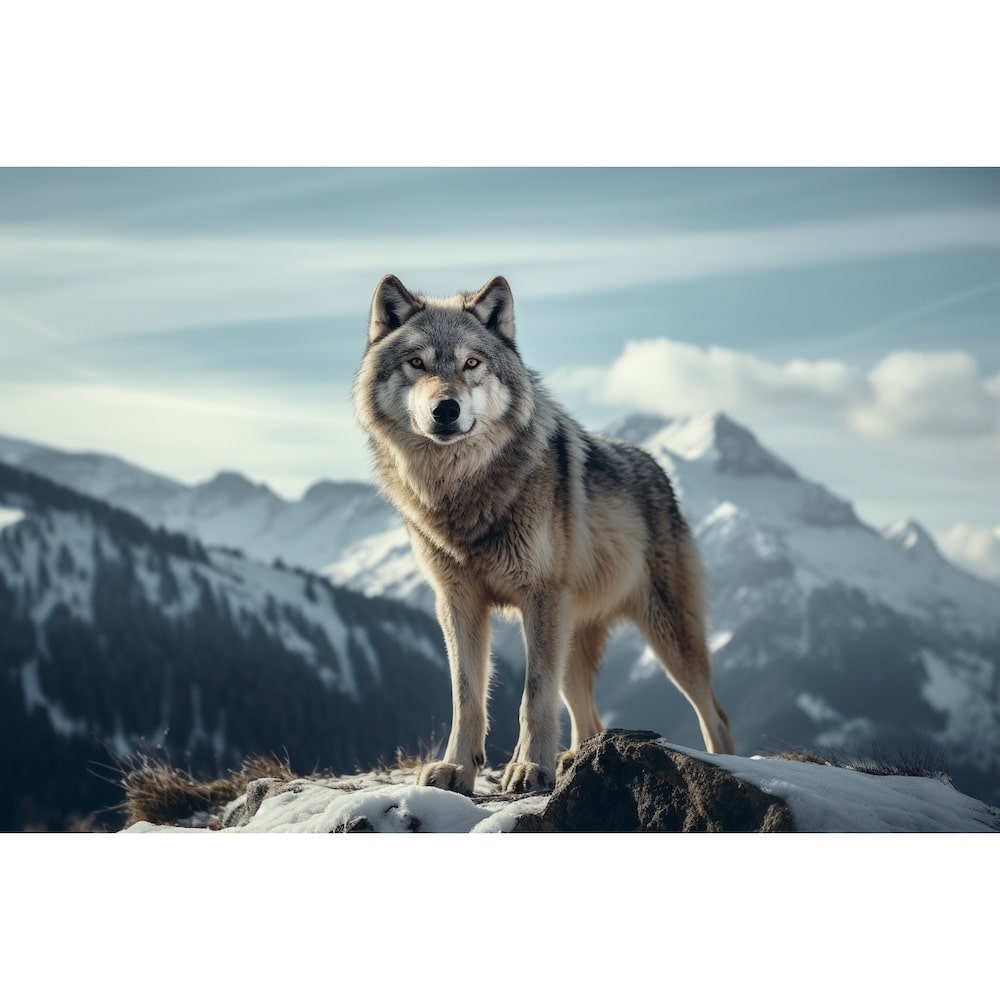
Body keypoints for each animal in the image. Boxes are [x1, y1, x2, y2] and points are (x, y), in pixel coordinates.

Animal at [354, 274, 735, 795]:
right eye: (417, 363)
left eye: (472, 363)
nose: (446, 409)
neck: (463, 492)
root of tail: (657, 466)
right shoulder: (457, 603)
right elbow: (466, 698)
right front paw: (456, 769)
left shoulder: (540, 597)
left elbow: (533, 696)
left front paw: (531, 768)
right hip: (572, 636)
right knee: (589, 718)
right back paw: (576, 759)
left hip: (665, 636)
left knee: (715, 715)